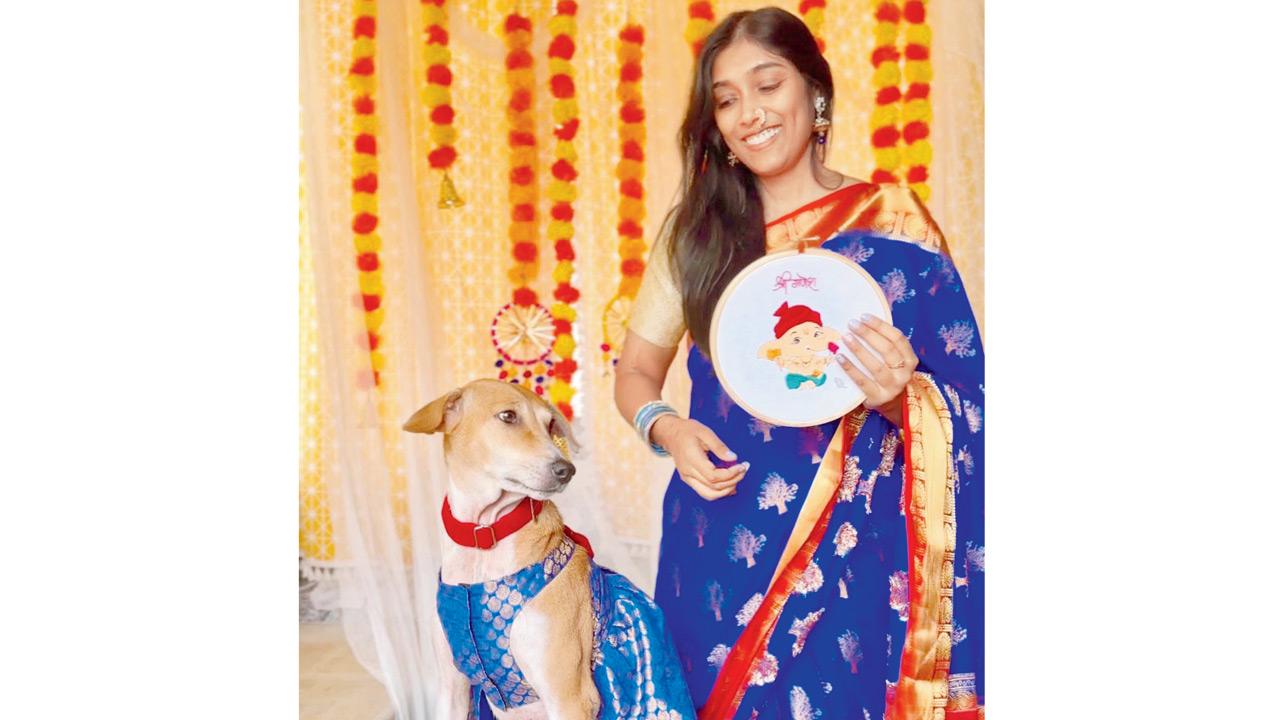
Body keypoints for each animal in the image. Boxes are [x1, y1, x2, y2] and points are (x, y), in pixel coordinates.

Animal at [404, 379, 694, 720]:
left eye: (550, 425)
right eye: (508, 416)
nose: (566, 470)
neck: (484, 539)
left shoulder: (570, 697)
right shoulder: (453, 690)